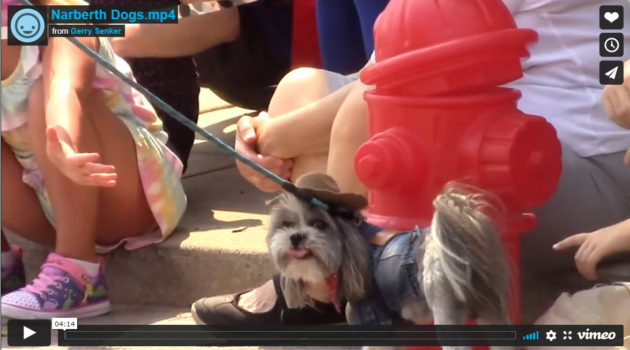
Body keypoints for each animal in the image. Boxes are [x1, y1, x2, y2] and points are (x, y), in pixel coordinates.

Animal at [266, 173, 512, 350]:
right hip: (492, 311)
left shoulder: (375, 323)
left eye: (319, 225)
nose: (296, 237)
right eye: (286, 224)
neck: (353, 242)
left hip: (446, 312)